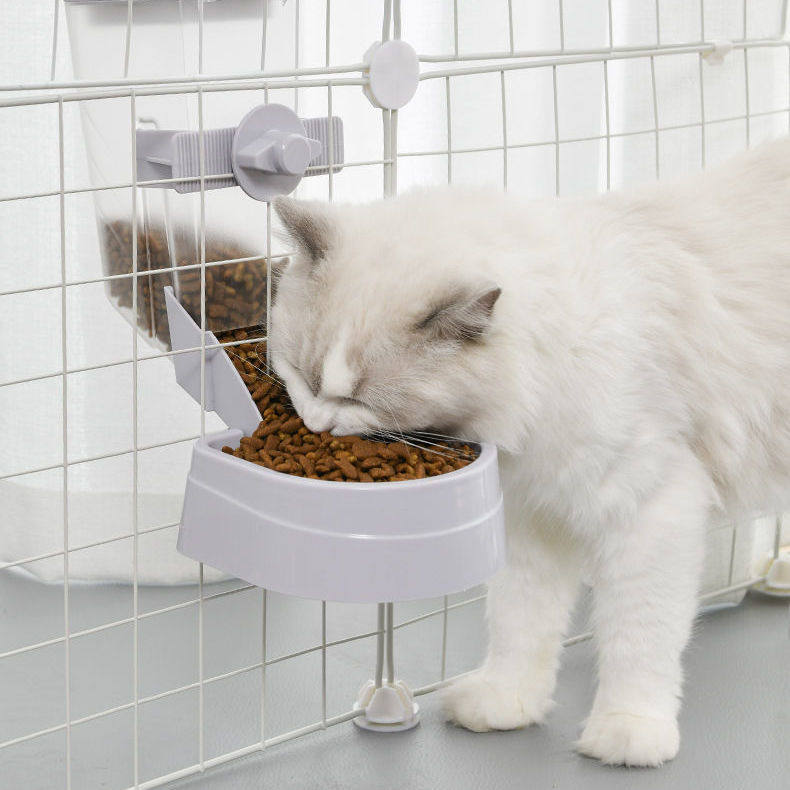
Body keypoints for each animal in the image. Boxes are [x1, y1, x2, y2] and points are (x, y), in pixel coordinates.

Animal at [268, 136, 790, 766]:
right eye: (304, 377)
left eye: (357, 400)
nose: (317, 423)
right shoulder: (530, 519)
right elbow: (520, 624)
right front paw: (506, 704)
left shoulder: (651, 512)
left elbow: (639, 638)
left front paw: (628, 733)